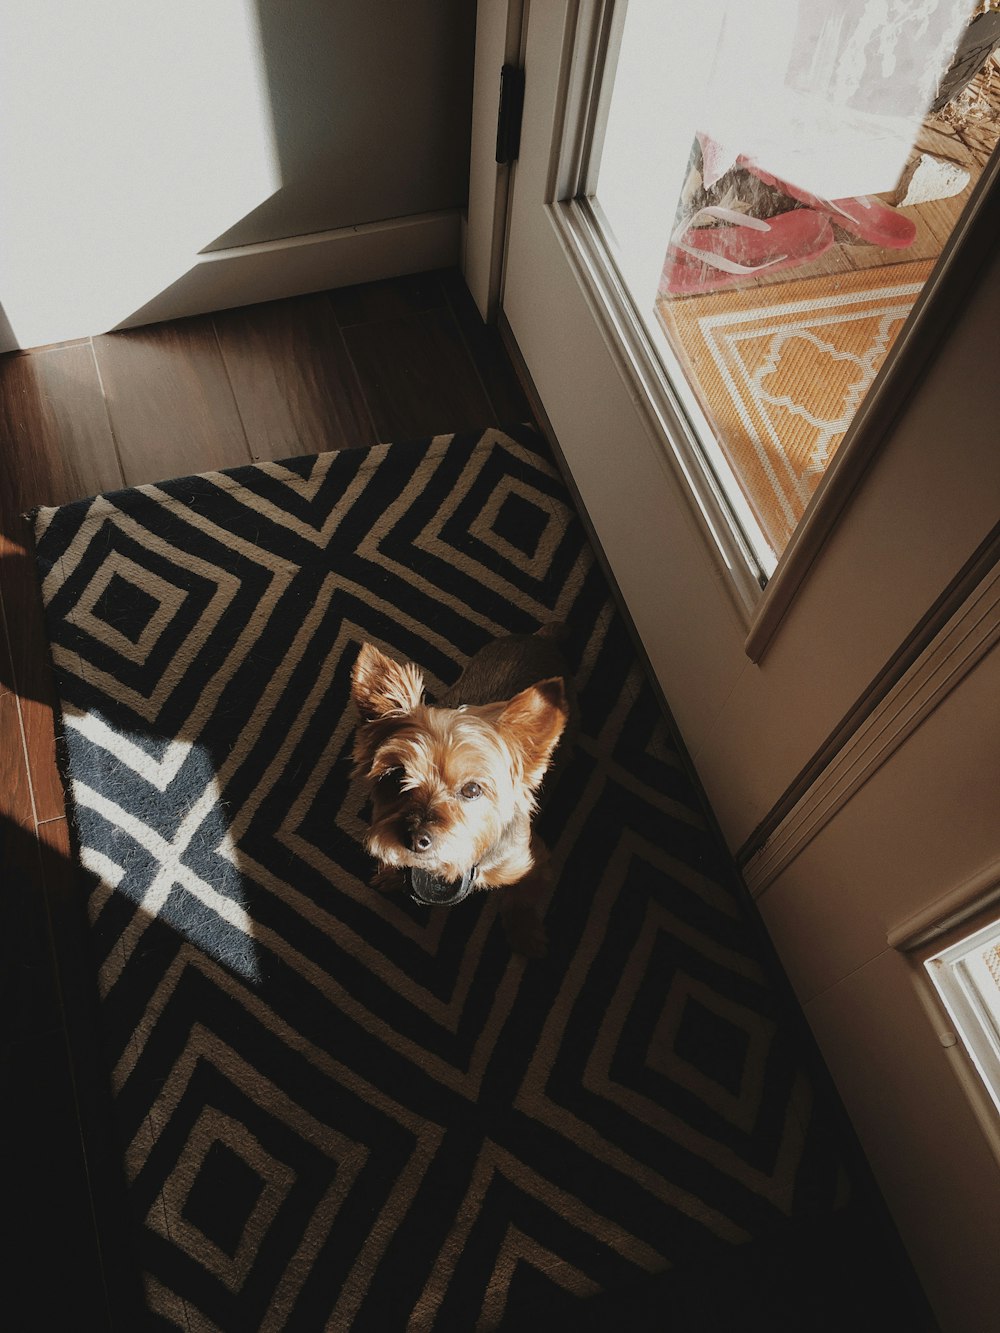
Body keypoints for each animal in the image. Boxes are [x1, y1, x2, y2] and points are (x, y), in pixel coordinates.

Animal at [349, 626, 570, 954]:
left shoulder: (533, 859)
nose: (414, 839)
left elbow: (522, 899)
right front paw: (391, 872)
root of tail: (539, 637)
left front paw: (525, 935)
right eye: (396, 775)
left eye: (472, 790)